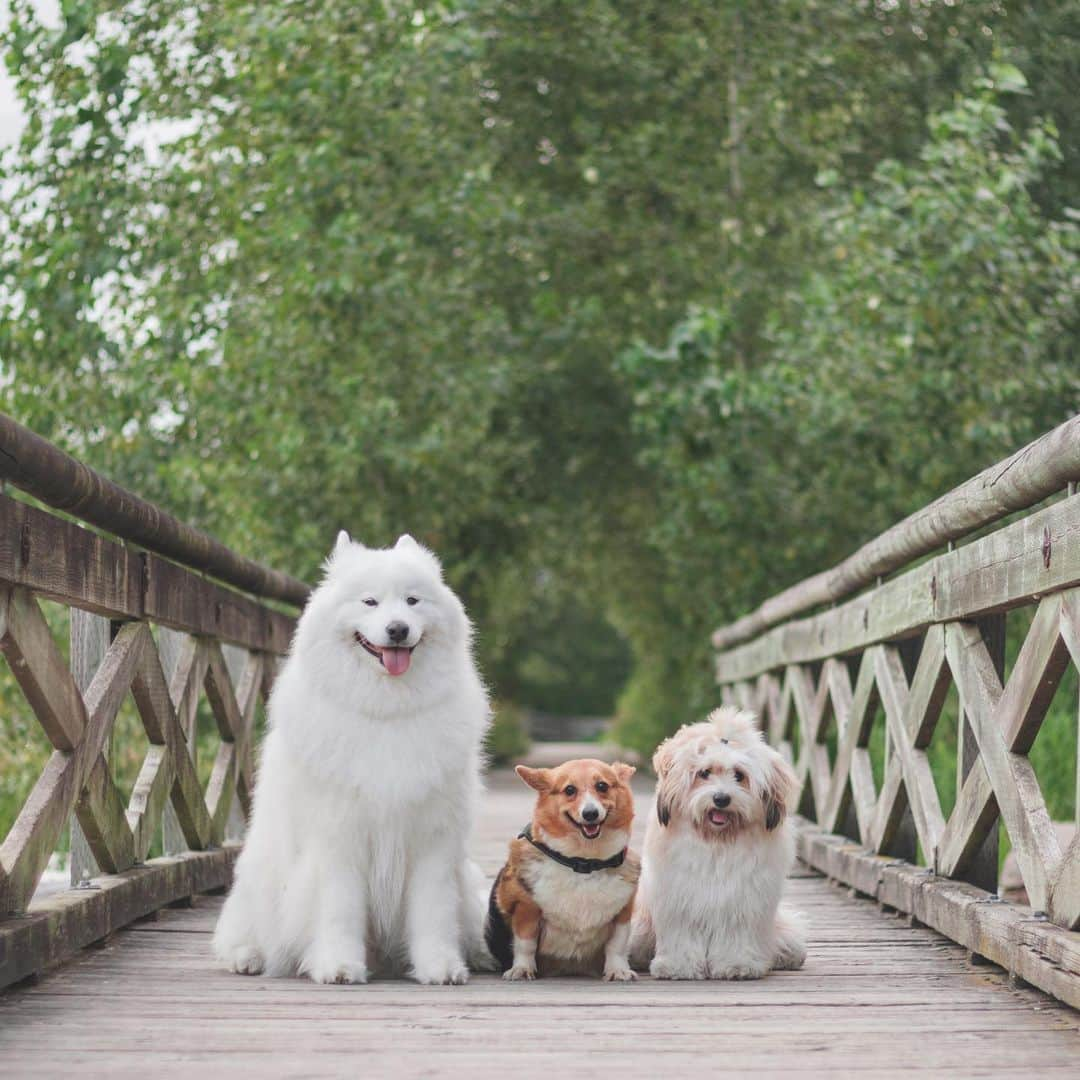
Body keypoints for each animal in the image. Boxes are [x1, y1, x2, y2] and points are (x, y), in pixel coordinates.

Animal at [212, 531, 492, 989]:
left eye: (412, 601)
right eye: (370, 602)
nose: (398, 629)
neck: (386, 711)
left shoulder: (432, 840)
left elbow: (433, 912)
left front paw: (440, 966)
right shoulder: (339, 838)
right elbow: (340, 910)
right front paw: (339, 966)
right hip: (258, 883)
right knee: (239, 934)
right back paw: (245, 958)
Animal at [630, 708, 807, 980]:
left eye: (739, 775)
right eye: (704, 773)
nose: (721, 799)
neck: (717, 841)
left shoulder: (743, 900)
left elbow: (736, 935)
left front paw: (737, 965)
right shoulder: (679, 897)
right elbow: (682, 934)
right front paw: (678, 966)